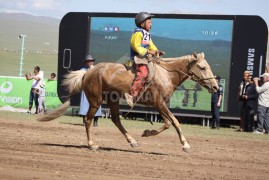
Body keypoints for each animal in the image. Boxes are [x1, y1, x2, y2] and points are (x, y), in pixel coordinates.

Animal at [37, 52, 218, 153]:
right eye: (202, 68)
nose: (216, 87)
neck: (166, 74)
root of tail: (88, 73)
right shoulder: (159, 103)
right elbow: (173, 122)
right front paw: (185, 145)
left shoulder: (161, 105)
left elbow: (168, 123)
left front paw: (146, 133)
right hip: (95, 101)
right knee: (88, 120)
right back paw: (92, 144)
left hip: (113, 101)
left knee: (116, 120)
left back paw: (132, 141)